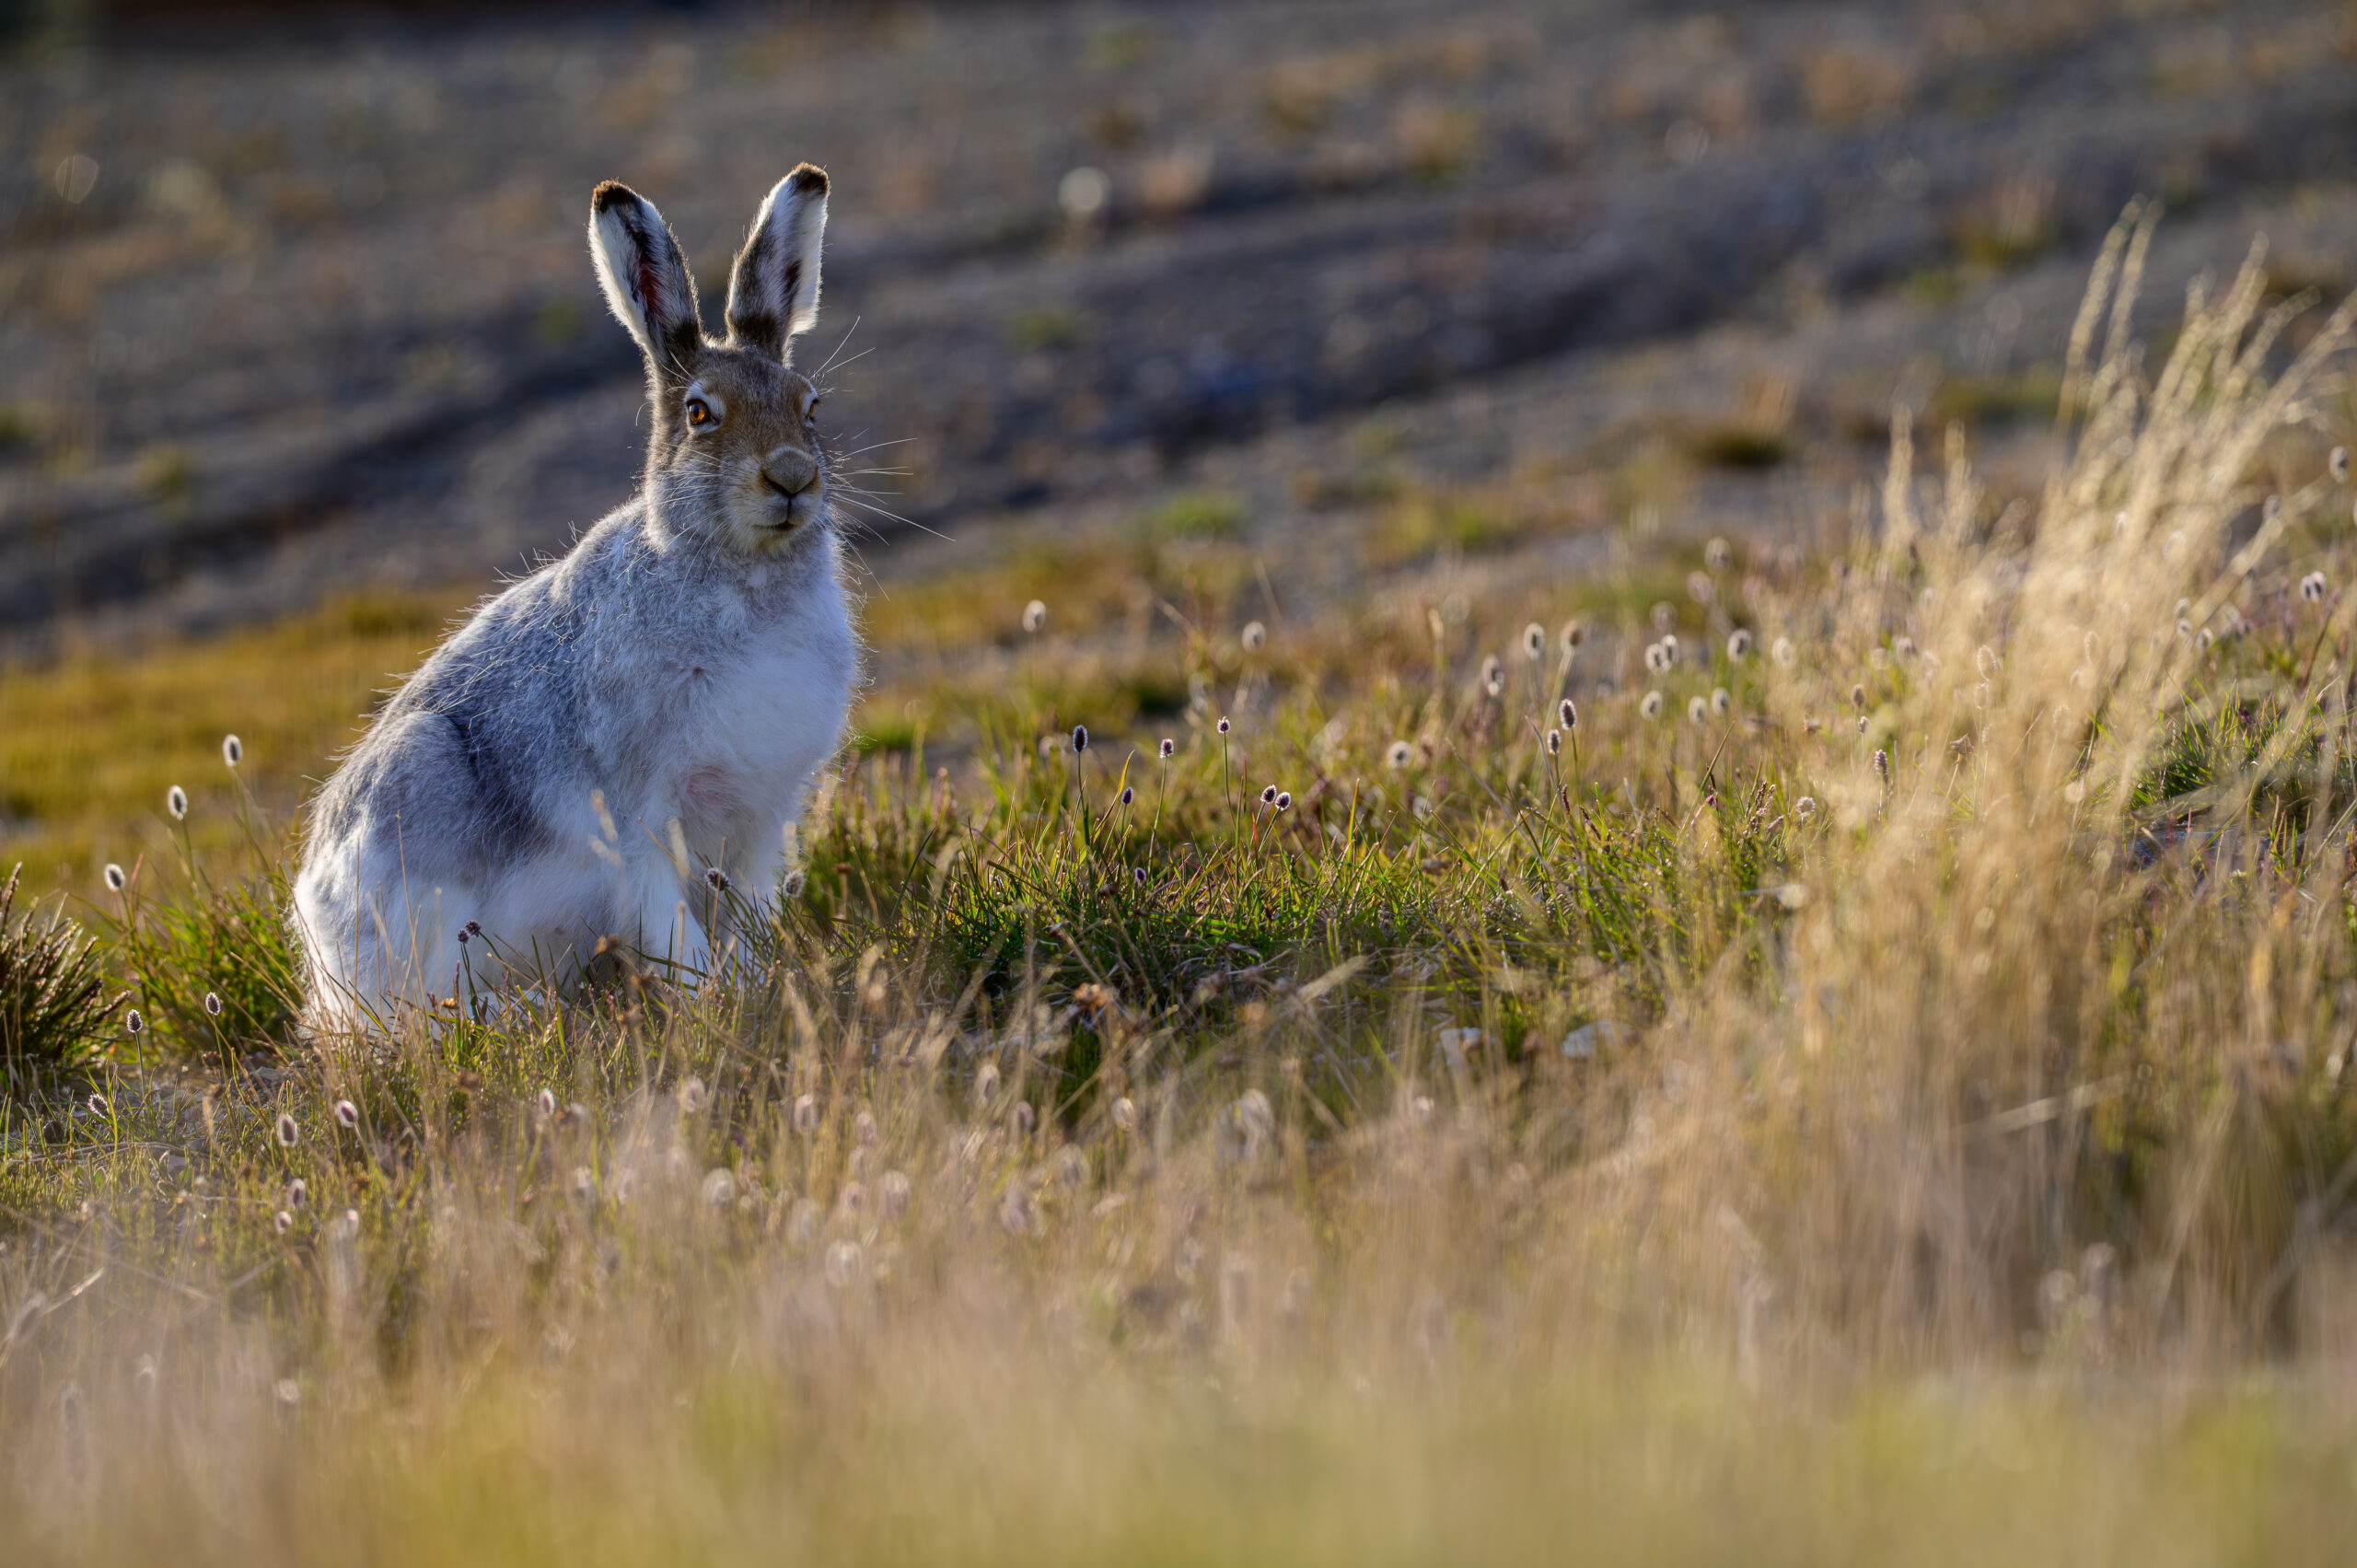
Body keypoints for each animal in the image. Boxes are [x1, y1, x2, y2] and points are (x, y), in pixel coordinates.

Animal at [292, 166, 858, 1030]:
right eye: (700, 414)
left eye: (811, 403)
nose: (792, 475)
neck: (739, 571)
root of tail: (316, 926)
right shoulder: (640, 821)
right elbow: (673, 926)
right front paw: (714, 1000)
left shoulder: (760, 822)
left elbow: (751, 916)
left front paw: (758, 981)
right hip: (416, 811)